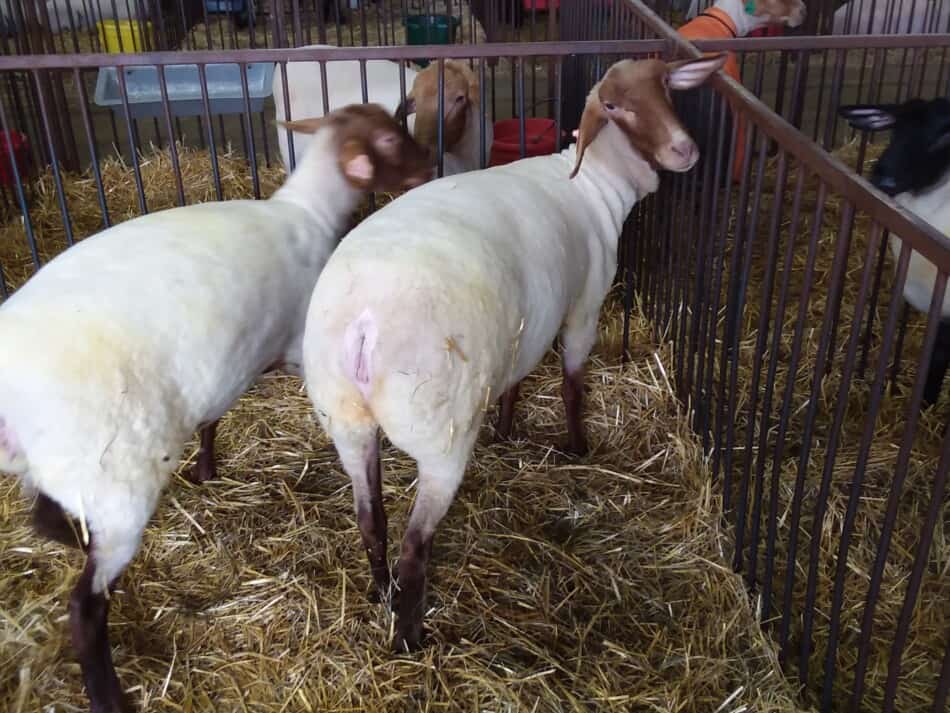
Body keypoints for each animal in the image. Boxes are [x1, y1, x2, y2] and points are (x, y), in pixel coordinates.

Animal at [0, 101, 432, 712]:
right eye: (391, 141)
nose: (430, 163)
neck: (306, 210)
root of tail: (10, 403)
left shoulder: (223, 368)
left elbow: (210, 418)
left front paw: (205, 469)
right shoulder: (297, 345)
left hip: (63, 470)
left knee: (43, 517)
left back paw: (69, 539)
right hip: (113, 482)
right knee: (85, 608)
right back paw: (110, 695)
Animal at [304, 51, 728, 652]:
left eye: (666, 87)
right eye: (614, 106)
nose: (684, 151)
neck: (593, 182)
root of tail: (362, 325)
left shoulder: (526, 327)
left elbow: (515, 382)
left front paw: (507, 429)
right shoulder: (583, 305)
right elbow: (573, 384)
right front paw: (578, 446)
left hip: (345, 420)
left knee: (372, 521)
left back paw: (380, 591)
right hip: (441, 436)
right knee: (415, 544)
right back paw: (410, 635)